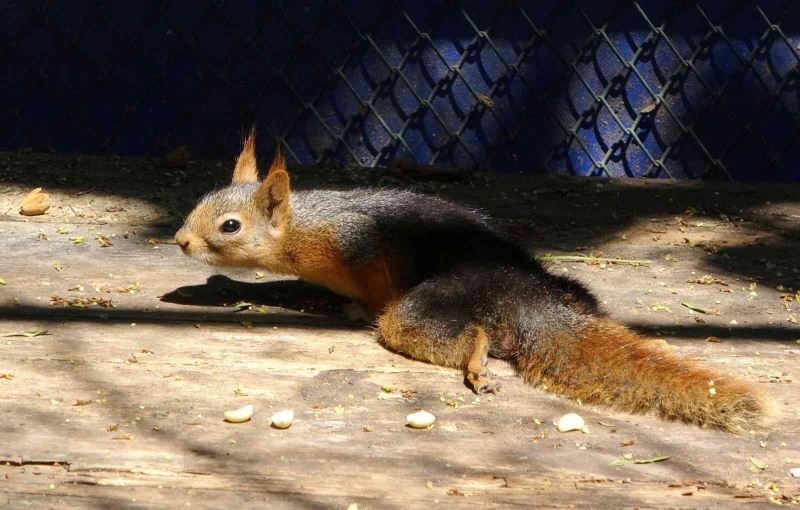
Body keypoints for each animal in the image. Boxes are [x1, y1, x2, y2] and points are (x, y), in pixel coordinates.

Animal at [177, 131, 768, 430]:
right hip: (567, 291)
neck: (306, 229)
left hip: (428, 305)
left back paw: (476, 361)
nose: (180, 240)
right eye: (200, 202)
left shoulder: (360, 244)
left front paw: (354, 307)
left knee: (459, 330)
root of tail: (524, 293)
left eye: (230, 226)